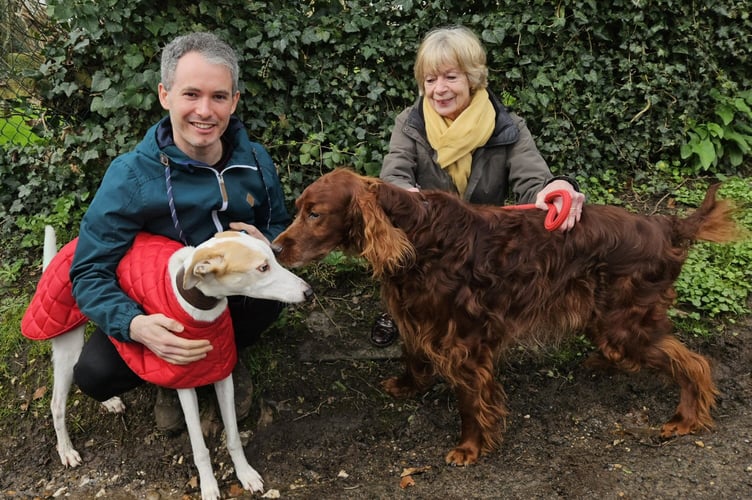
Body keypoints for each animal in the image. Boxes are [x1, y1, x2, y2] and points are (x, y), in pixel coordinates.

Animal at [22, 228, 312, 500]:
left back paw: (109, 401)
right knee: (57, 403)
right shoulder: (184, 382)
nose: (309, 292)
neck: (197, 301)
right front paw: (208, 486)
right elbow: (199, 447)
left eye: (273, 257)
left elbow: (233, 436)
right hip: (66, 345)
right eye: (263, 268)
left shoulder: (222, 374)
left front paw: (246, 474)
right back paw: (66, 450)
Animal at [272, 168, 740, 464]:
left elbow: (469, 399)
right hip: (606, 317)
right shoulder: (419, 319)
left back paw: (686, 418)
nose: (275, 248)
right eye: (297, 208)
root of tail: (666, 226)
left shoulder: (463, 341)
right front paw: (408, 385)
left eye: (315, 213)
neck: (417, 236)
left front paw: (470, 448)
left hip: (624, 321)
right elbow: (412, 355)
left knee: (694, 363)